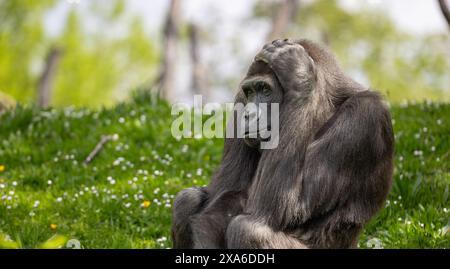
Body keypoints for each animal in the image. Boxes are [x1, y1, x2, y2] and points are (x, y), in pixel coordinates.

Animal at [172, 37, 394, 247]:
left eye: (264, 89)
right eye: (250, 92)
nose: (248, 114)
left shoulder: (364, 114)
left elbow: (288, 208)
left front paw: (299, 76)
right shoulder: (239, 101)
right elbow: (220, 199)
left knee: (247, 230)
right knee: (187, 199)